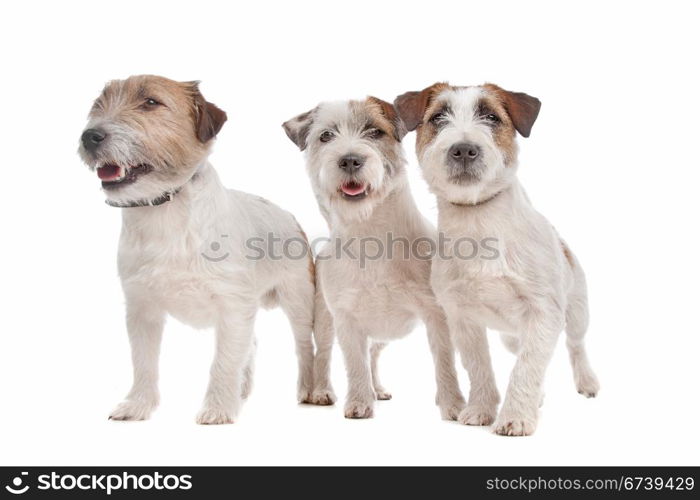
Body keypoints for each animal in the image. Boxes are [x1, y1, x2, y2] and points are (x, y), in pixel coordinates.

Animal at [78, 74, 332, 424]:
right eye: (98, 104)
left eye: (151, 102)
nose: (90, 136)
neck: (165, 208)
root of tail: (286, 214)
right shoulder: (142, 310)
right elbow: (144, 363)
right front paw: (137, 405)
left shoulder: (232, 306)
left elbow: (222, 362)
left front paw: (217, 409)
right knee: (250, 343)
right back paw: (242, 390)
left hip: (298, 302)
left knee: (303, 347)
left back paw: (307, 389)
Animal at [396, 84, 600, 436]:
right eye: (438, 117)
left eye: (491, 117)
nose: (464, 149)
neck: (477, 219)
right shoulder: (462, 318)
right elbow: (479, 366)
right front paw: (480, 409)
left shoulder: (543, 313)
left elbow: (526, 368)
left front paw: (515, 417)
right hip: (510, 336)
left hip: (575, 313)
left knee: (575, 346)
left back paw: (586, 381)